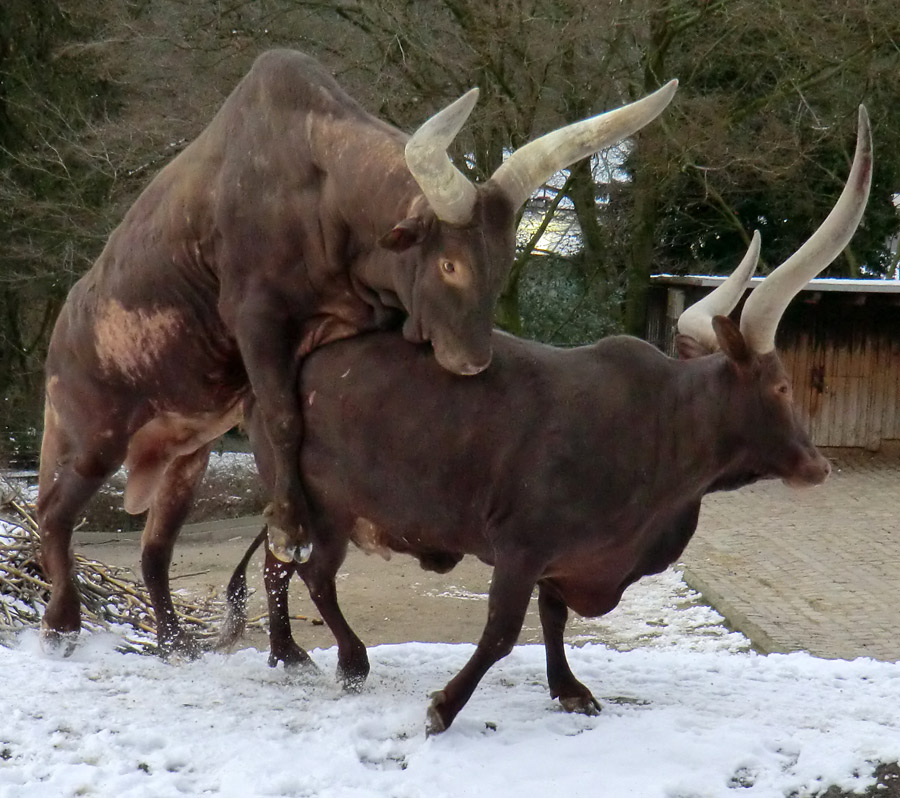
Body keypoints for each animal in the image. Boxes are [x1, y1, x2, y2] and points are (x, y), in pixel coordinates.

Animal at [38, 48, 680, 656]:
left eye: (500, 263)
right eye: (450, 264)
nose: (473, 360)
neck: (321, 192)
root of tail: (61, 327)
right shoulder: (257, 320)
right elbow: (283, 420)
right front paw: (290, 527)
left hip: (184, 456)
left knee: (154, 551)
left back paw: (175, 642)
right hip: (94, 437)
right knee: (55, 513)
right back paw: (61, 622)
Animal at [220, 108, 872, 736]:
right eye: (781, 385)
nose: (818, 465)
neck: (661, 427)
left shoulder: (560, 560)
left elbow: (553, 618)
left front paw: (569, 689)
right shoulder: (522, 546)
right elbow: (503, 632)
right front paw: (445, 707)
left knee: (280, 568)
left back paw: (286, 652)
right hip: (323, 508)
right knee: (311, 574)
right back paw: (350, 658)